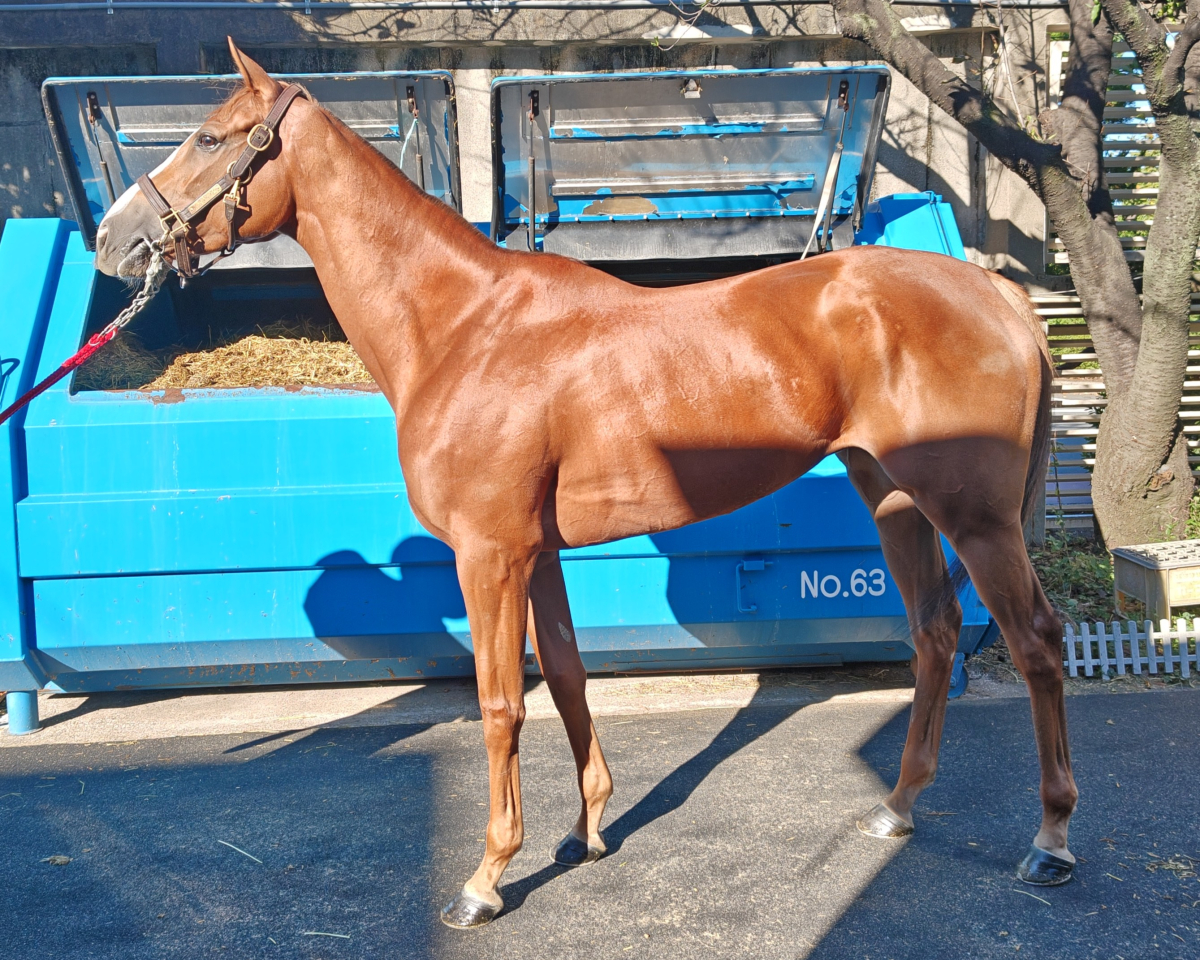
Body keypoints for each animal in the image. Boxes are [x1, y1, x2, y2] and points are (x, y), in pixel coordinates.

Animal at [94, 39, 1077, 928]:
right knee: (935, 636)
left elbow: (499, 702)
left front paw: (487, 879)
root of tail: (999, 295)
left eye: (211, 137)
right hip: (895, 502)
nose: (113, 238)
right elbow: (565, 677)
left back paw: (1051, 841)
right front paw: (587, 830)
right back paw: (897, 808)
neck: (464, 326)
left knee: (1035, 640)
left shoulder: (490, 554)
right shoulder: (538, 553)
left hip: (977, 519)